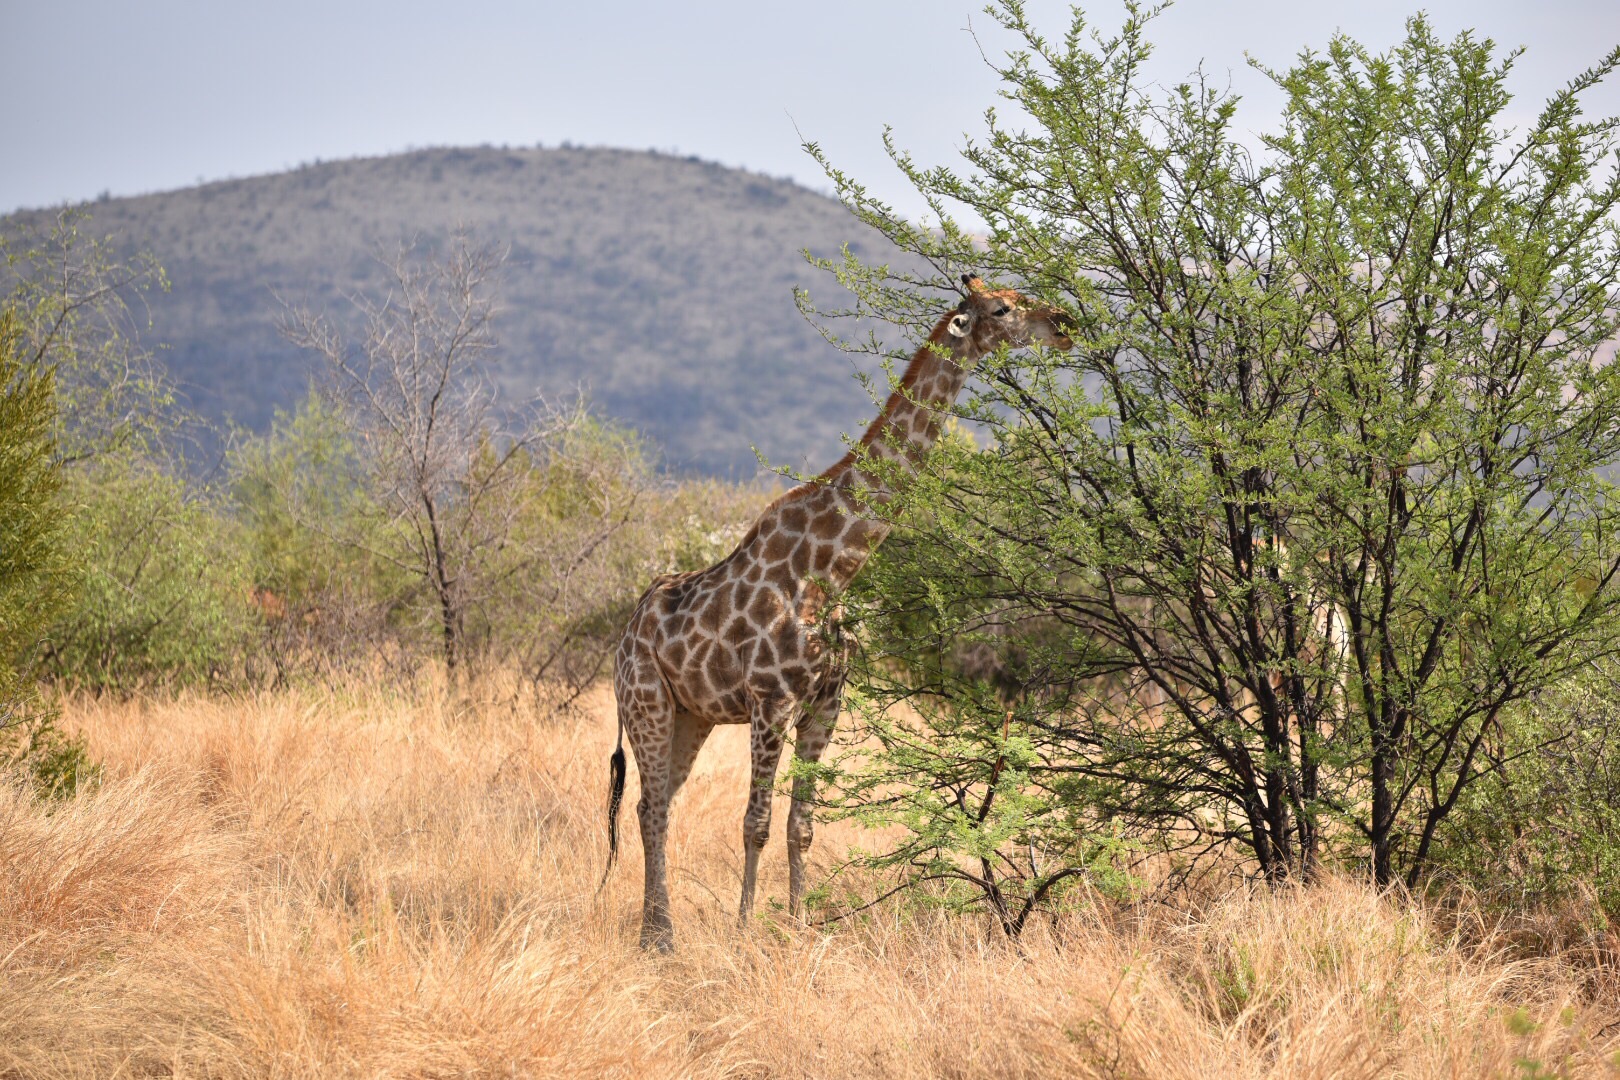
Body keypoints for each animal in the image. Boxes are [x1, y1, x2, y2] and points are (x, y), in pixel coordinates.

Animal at [602, 275, 1069, 952]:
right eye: (1002, 308)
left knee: (653, 805)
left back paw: (658, 933)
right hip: (645, 704)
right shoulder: (772, 701)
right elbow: (756, 822)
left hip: (692, 716)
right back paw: (657, 936)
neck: (832, 569)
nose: (1063, 322)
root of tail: (623, 636)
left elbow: (801, 825)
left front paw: (799, 928)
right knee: (650, 806)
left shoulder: (826, 702)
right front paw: (745, 932)